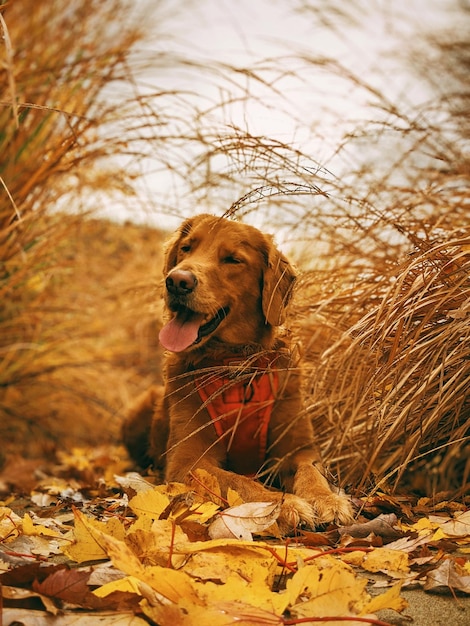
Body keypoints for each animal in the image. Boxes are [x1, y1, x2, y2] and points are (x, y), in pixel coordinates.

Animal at [121, 214, 352, 532]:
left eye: (232, 259)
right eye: (186, 248)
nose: (177, 281)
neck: (237, 366)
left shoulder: (298, 448)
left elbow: (311, 472)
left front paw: (327, 500)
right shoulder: (187, 461)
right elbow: (240, 482)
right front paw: (283, 505)